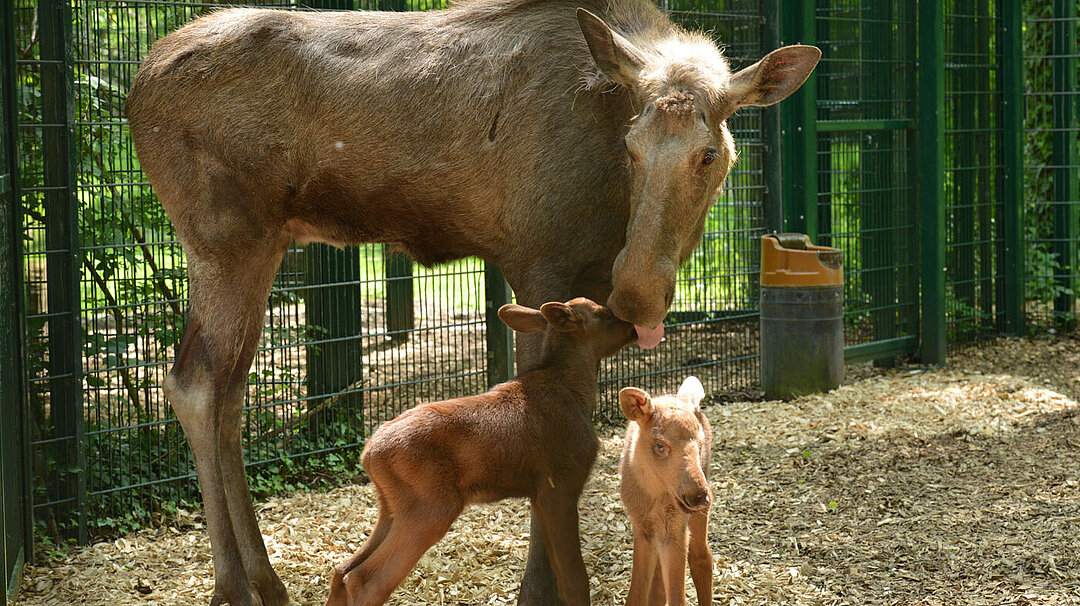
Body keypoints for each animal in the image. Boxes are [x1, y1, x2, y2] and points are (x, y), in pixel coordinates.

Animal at [324, 298, 635, 604]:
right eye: (605, 314)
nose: (632, 326)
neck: (576, 391)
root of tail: (368, 454)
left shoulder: (539, 494)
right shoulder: (560, 485)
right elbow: (575, 579)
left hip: (391, 505)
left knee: (342, 570)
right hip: (432, 506)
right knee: (367, 580)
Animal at [622, 378, 712, 604]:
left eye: (700, 445)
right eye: (660, 445)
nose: (698, 496)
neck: (653, 496)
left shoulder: (676, 529)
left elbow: (677, 598)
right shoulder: (642, 527)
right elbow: (637, 595)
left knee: (702, 557)